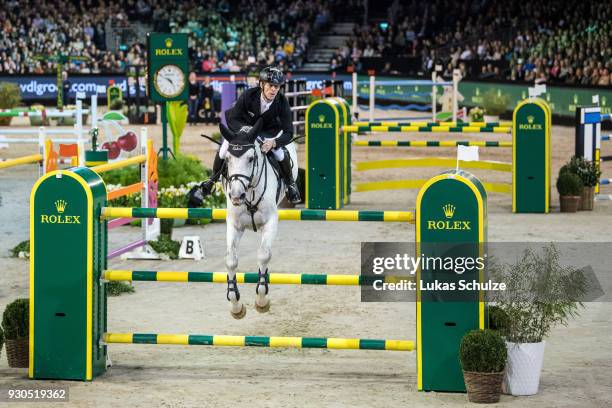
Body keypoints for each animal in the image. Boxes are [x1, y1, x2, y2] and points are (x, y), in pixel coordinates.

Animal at [218, 120, 298, 318]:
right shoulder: (234, 225)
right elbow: (231, 260)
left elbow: (263, 255)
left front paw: (262, 301)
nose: (236, 196)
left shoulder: (270, 223)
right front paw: (236, 306)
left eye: (251, 159)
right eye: (228, 160)